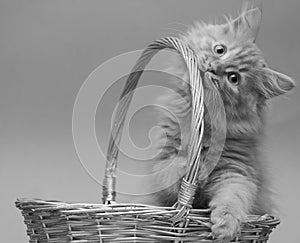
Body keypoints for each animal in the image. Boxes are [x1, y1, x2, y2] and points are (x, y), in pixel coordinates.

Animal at [151, 4, 294, 242]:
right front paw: (187, 168)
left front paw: (225, 226)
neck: (203, 121)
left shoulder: (237, 170)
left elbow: (233, 197)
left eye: (233, 78)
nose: (213, 67)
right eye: (220, 50)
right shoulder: (163, 159)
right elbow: (168, 171)